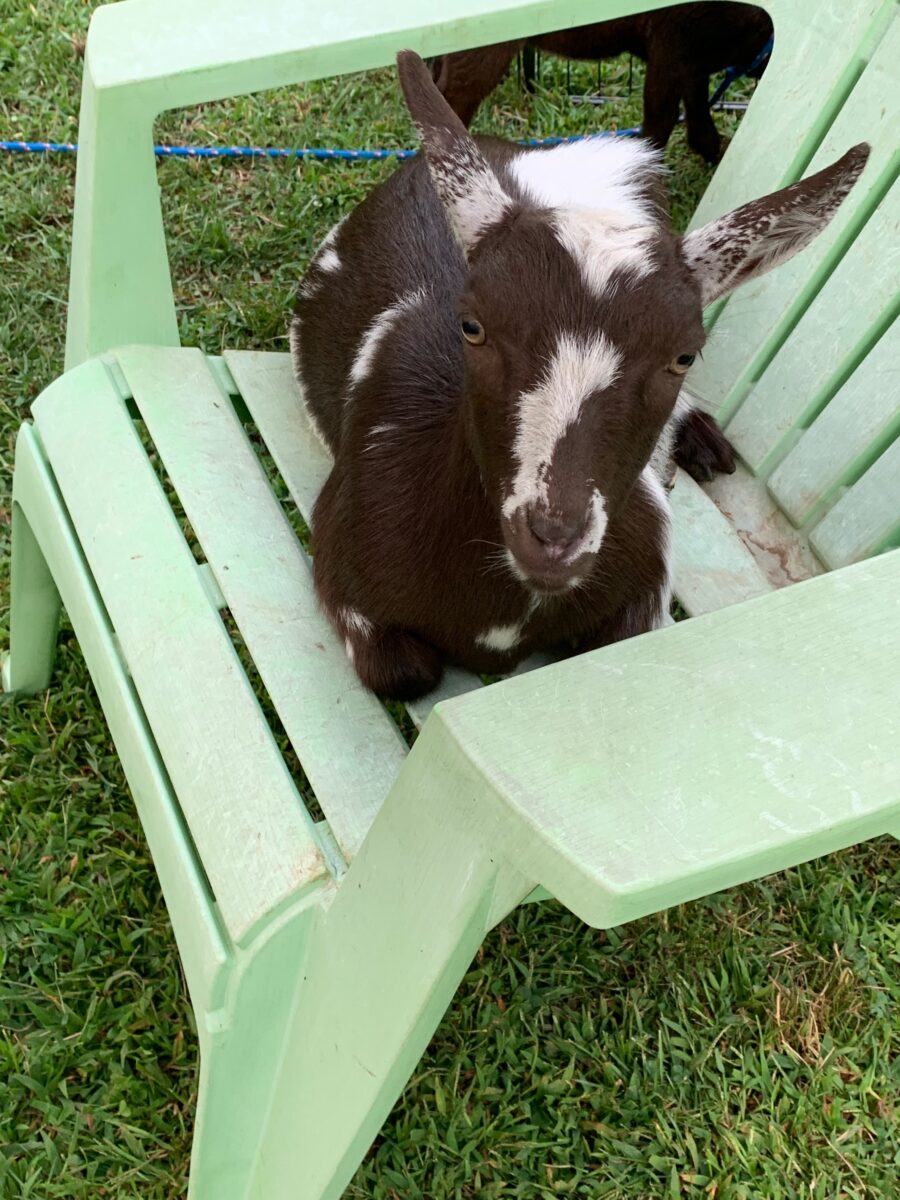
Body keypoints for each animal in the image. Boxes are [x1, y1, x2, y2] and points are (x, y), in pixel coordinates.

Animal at [290, 50, 867, 700]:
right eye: (472, 325)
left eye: (684, 355)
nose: (553, 540)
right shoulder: (343, 566)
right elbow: (404, 674)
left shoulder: (643, 587)